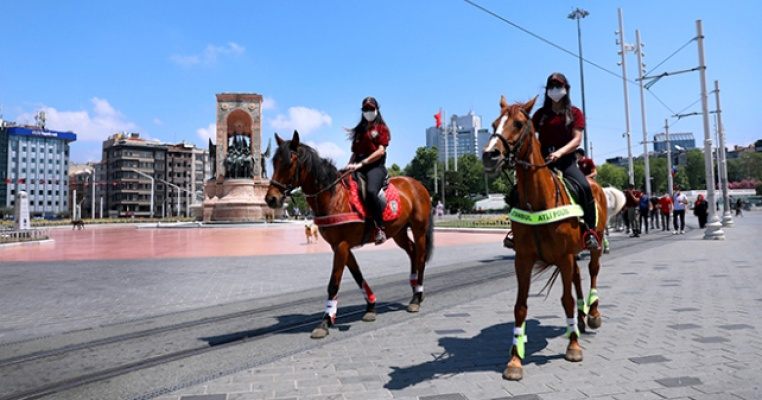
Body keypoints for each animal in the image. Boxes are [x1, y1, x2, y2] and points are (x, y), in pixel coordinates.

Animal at [262, 130, 430, 338]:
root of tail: (416, 184)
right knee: (412, 252)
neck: (333, 196)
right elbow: (357, 276)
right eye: (274, 162)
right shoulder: (340, 246)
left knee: (420, 257)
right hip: (398, 231)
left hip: (419, 229)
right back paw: (415, 290)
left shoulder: (341, 246)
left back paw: (416, 296)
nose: (271, 198)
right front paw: (370, 306)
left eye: (289, 163)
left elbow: (334, 283)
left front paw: (326, 321)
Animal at [480, 96, 604, 382]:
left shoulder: (563, 256)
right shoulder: (524, 259)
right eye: (493, 123)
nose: (490, 155)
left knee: (592, 271)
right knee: (577, 278)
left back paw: (592, 313)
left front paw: (573, 347)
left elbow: (566, 299)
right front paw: (515, 359)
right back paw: (580, 319)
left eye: (518, 123)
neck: (538, 200)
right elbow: (520, 306)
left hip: (594, 244)